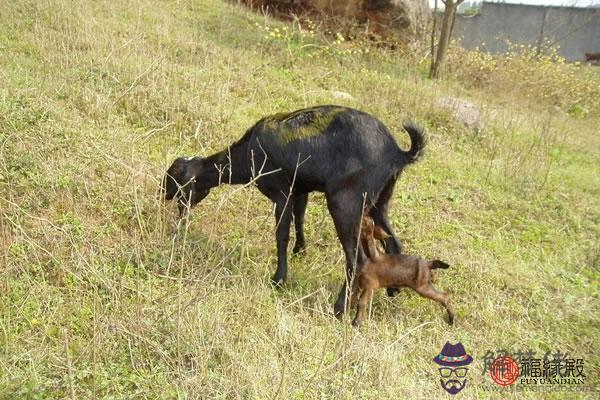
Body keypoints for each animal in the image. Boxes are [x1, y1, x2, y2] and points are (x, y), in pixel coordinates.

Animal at [162, 104, 424, 318]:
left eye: (173, 178)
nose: (179, 217)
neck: (249, 151)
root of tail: (397, 153)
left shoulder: (281, 192)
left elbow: (281, 234)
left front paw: (279, 279)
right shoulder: (300, 189)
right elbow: (300, 217)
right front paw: (301, 250)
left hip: (345, 204)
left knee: (357, 259)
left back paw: (339, 309)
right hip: (379, 203)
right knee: (393, 243)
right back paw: (393, 291)